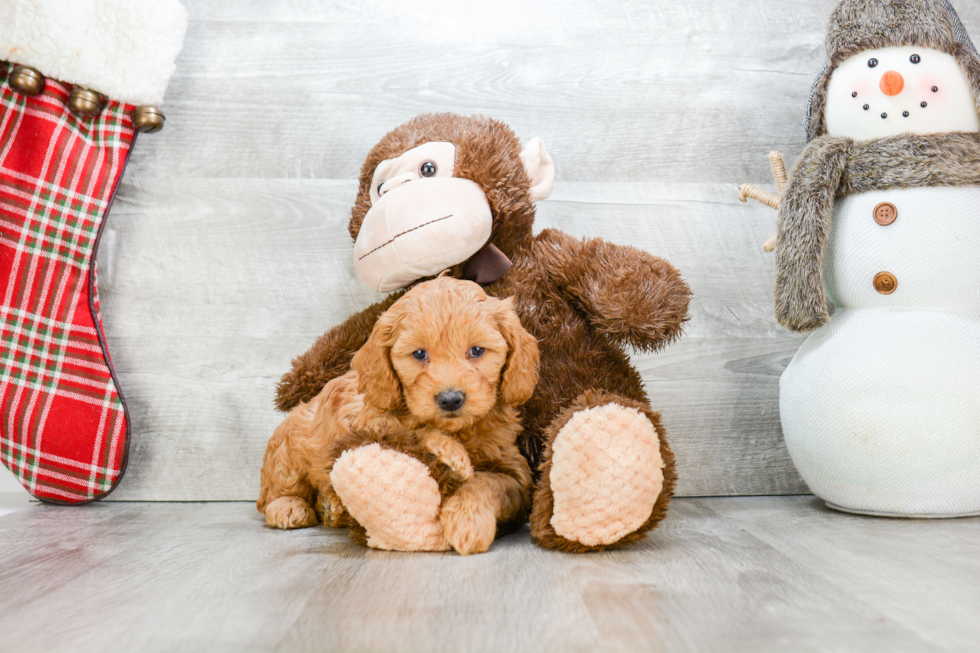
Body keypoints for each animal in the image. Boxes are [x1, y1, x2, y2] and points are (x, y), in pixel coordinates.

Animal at [256, 272, 540, 552]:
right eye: (419, 354)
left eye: (477, 350)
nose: (450, 400)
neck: (459, 430)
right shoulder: (369, 421)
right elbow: (410, 431)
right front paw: (451, 453)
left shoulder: (516, 474)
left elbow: (488, 483)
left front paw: (467, 522)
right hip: (287, 449)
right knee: (276, 491)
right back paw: (289, 507)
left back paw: (332, 507)